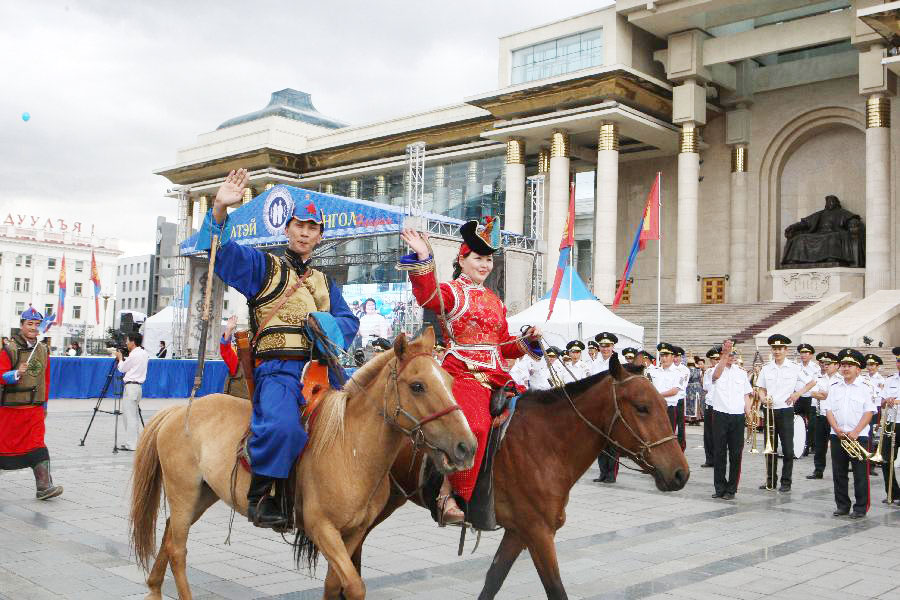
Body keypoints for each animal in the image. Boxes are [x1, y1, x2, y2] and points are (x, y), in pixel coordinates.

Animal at [129, 328, 478, 600]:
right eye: (417, 386)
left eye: (450, 380)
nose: (467, 446)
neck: (350, 447)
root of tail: (179, 411)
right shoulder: (322, 528)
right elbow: (354, 586)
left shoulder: (353, 532)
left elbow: (335, 584)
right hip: (184, 491)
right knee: (178, 549)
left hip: (203, 494)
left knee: (169, 536)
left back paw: (154, 588)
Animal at [354, 356, 688, 600]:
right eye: (643, 407)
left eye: (664, 404)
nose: (680, 473)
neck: (546, 442)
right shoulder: (539, 533)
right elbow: (555, 590)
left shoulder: (519, 532)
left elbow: (493, 580)